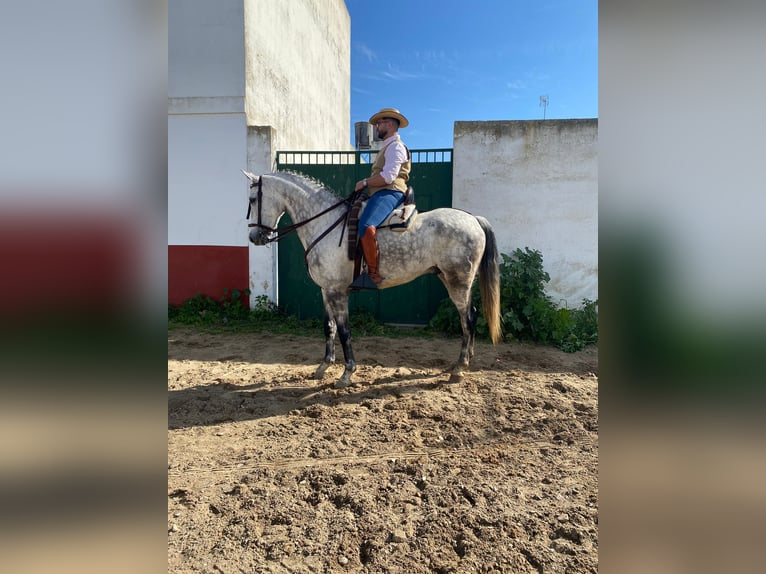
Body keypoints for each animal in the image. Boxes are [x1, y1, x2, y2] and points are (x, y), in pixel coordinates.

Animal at [246, 169, 504, 390]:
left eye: (252, 199)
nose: (254, 237)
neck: (325, 224)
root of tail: (473, 218)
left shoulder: (337, 292)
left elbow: (344, 331)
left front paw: (346, 374)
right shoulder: (326, 290)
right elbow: (328, 327)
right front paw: (323, 367)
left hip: (458, 282)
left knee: (468, 318)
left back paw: (460, 368)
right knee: (470, 316)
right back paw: (463, 361)